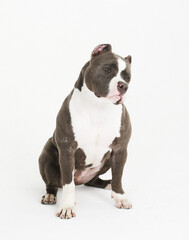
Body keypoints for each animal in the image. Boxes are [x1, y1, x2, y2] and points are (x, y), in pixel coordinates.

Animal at [38, 43, 132, 219]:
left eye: (128, 77)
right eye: (107, 69)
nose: (123, 85)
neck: (98, 106)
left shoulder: (120, 150)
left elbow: (118, 176)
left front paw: (120, 197)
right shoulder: (67, 149)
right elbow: (68, 184)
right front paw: (67, 206)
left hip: (107, 160)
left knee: (94, 181)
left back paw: (109, 185)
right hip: (46, 155)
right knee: (53, 183)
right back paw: (50, 195)